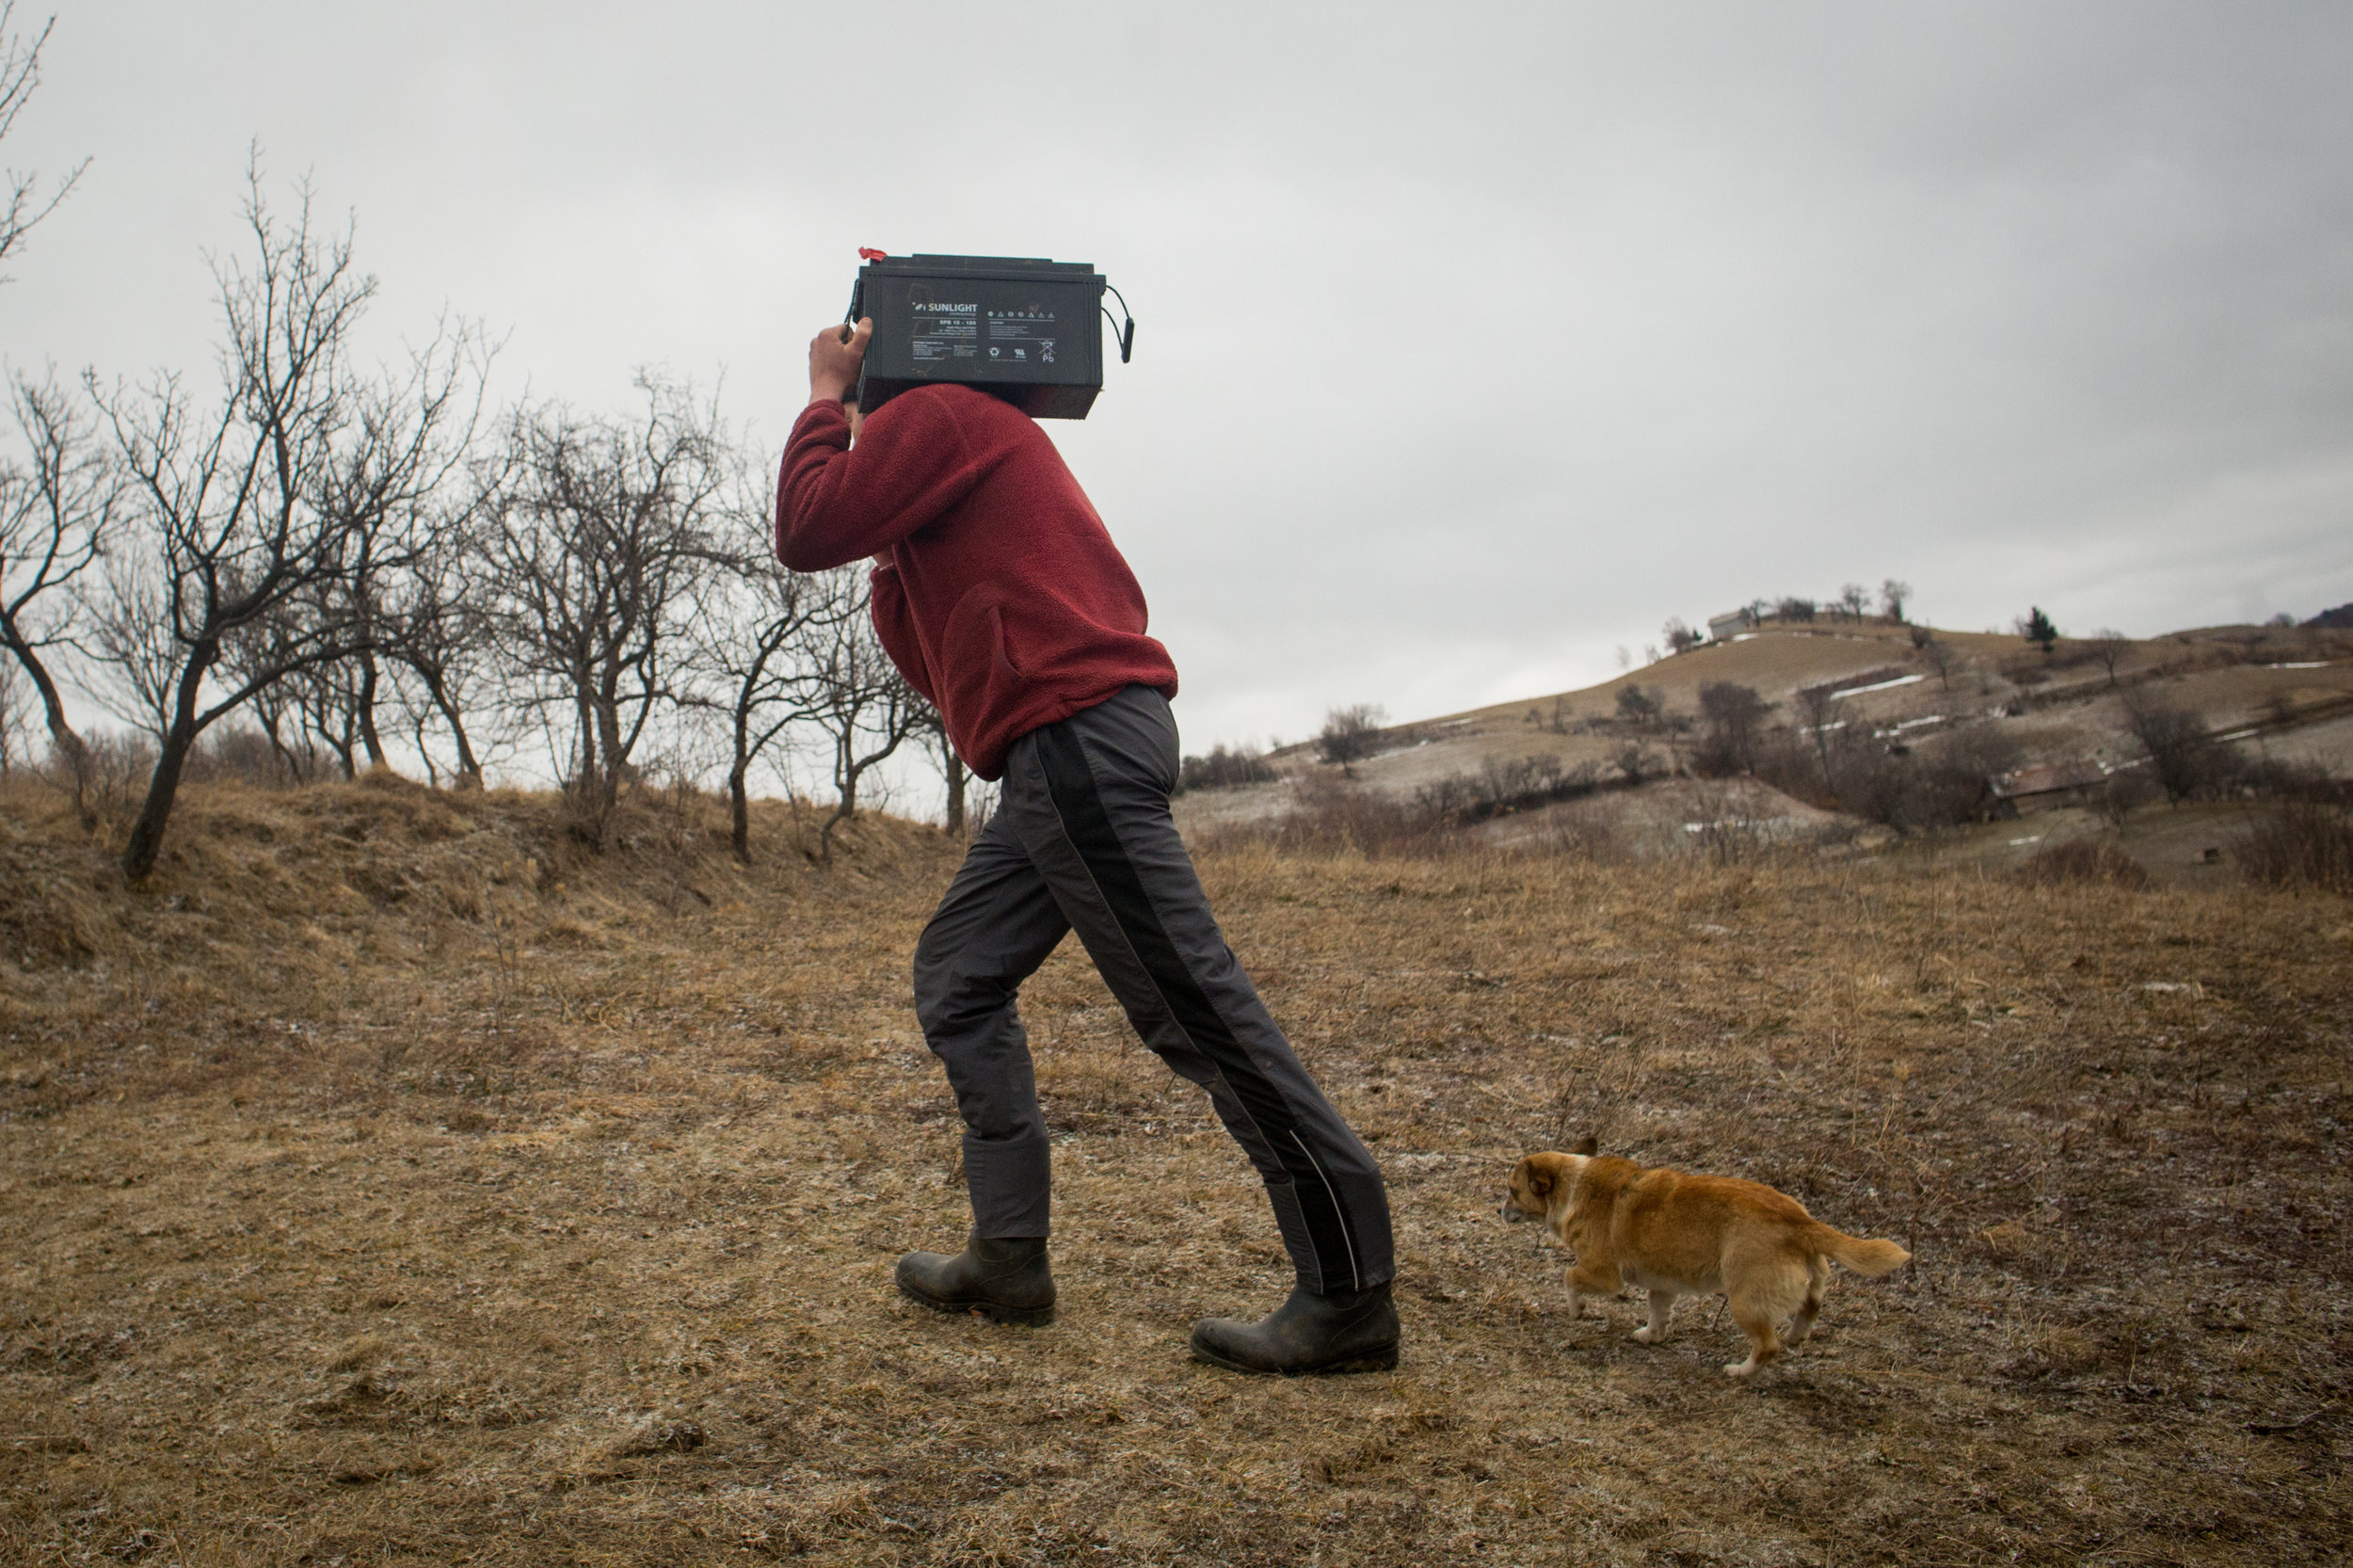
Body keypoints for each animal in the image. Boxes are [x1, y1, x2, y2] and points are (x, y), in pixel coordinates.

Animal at [1506, 1144, 1911, 1374]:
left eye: (1512, 1191)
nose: (1497, 1210)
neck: (1574, 1186)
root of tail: (1801, 1221)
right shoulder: (1662, 1285)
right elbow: (1658, 1313)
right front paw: (1651, 1337)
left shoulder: (1604, 1275)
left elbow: (1569, 1278)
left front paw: (1577, 1311)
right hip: (1807, 1282)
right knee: (1811, 1305)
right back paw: (1796, 1336)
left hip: (1745, 1301)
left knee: (1767, 1346)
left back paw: (1740, 1371)